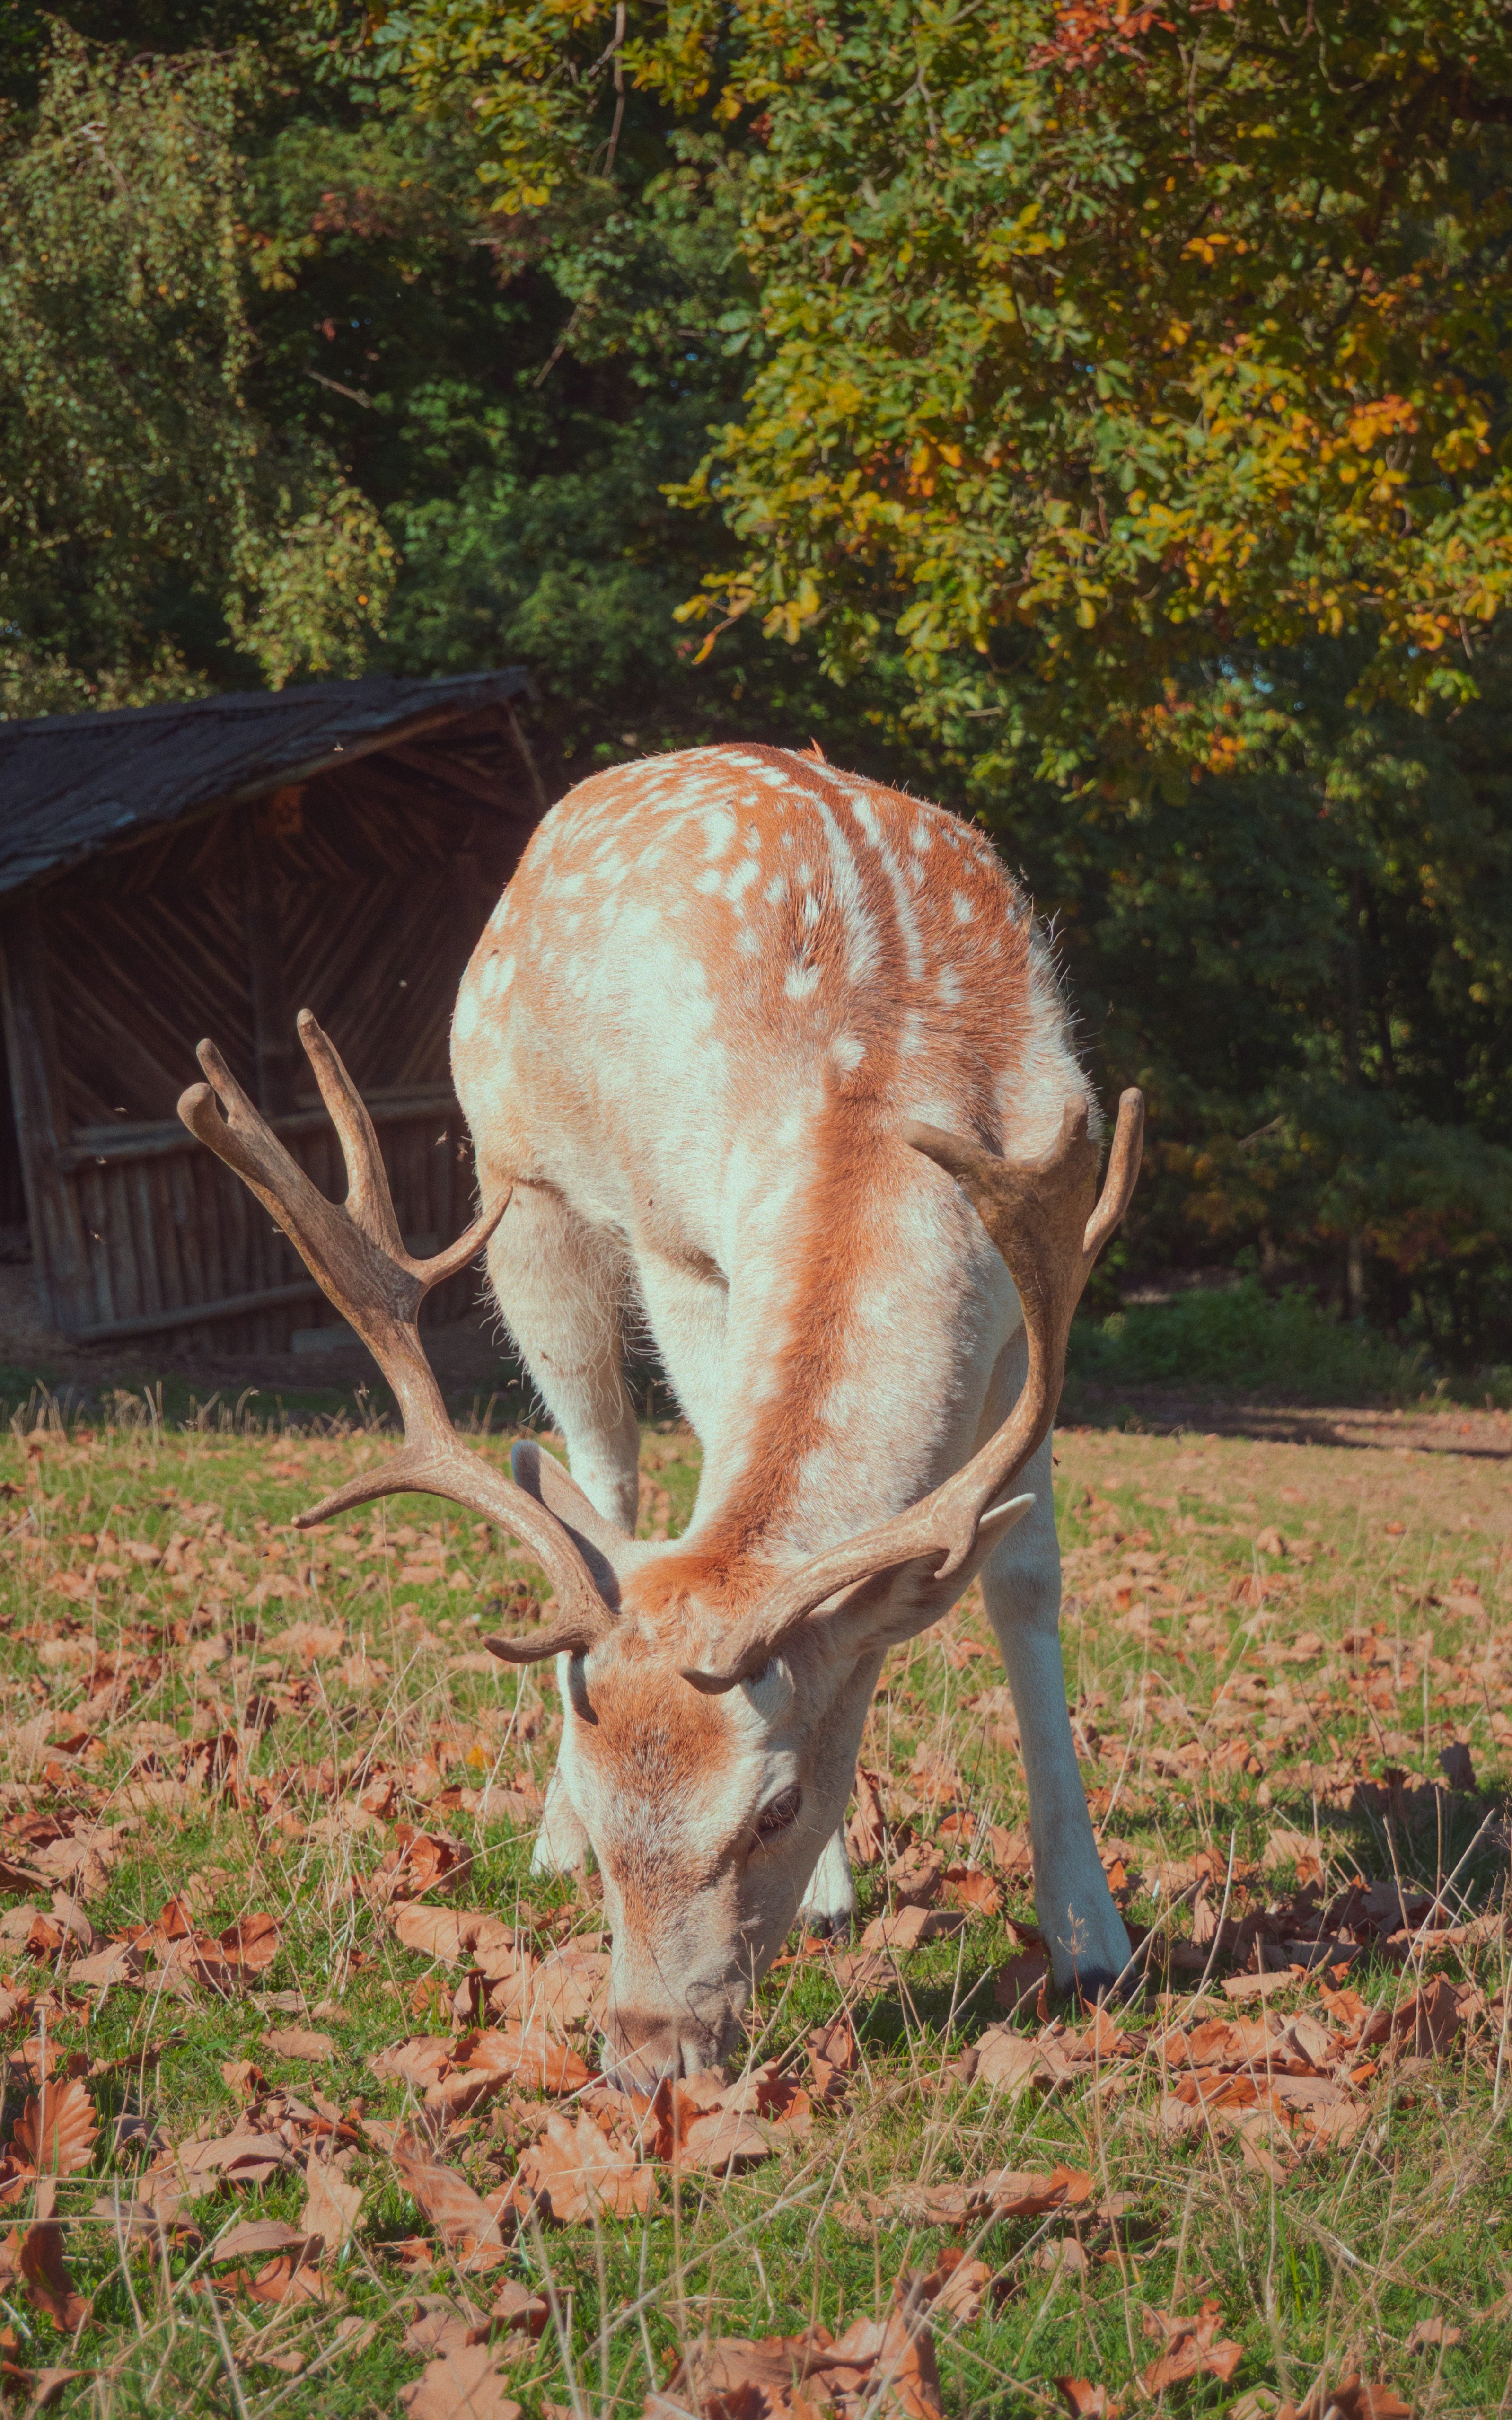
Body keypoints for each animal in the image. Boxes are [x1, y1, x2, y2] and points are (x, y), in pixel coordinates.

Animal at [180, 742, 1142, 2092]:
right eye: (598, 1803)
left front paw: (1089, 1937)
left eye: (774, 1805)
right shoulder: (682, 1244)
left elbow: (1023, 1578)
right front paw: (833, 1886)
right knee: (604, 1472)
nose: (645, 2053)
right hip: (526, 1197)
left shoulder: (1042, 1290)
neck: (887, 1081)